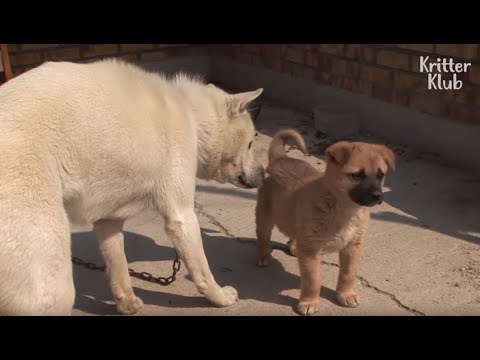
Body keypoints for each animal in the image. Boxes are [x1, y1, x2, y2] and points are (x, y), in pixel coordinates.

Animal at [0, 59, 264, 316]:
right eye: (251, 143)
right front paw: (221, 297)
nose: (264, 175)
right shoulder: (182, 216)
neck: (192, 113)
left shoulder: (109, 221)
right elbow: (203, 269)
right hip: (52, 281)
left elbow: (119, 267)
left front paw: (127, 305)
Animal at [255, 129, 394, 316]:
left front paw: (346, 294)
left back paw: (293, 246)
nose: (378, 196)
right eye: (356, 175)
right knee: (263, 236)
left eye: (381, 175)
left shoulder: (353, 246)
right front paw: (309, 302)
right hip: (265, 214)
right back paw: (263, 255)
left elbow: (348, 273)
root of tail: (280, 158)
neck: (344, 208)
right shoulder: (311, 251)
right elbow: (313, 280)